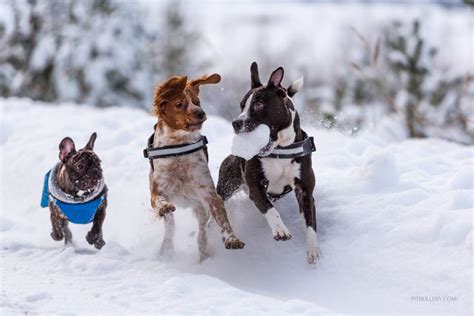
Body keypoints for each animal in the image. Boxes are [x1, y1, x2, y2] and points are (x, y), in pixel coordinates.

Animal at [217, 61, 320, 264]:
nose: (236, 123)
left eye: (258, 104)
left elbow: (310, 223)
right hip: (227, 185)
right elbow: (270, 209)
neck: (280, 150)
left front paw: (313, 249)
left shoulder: (305, 191)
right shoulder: (256, 187)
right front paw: (280, 229)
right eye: (242, 106)